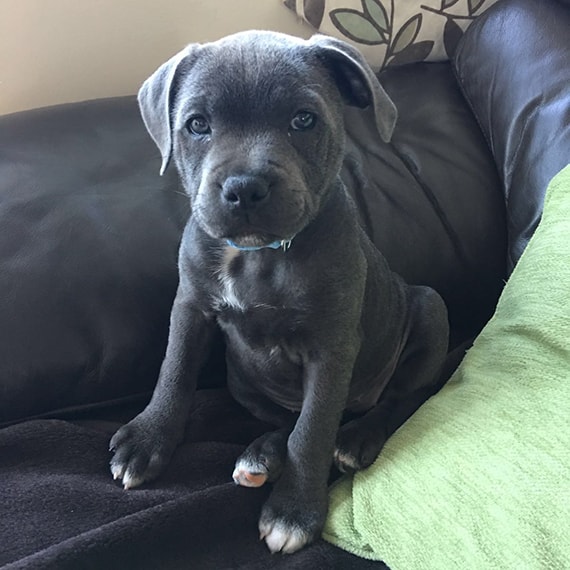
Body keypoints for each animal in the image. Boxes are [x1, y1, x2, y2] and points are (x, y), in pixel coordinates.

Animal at [110, 30, 448, 552]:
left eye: (303, 120)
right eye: (197, 124)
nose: (244, 188)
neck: (259, 255)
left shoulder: (331, 348)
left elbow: (313, 431)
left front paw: (295, 511)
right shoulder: (190, 308)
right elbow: (175, 370)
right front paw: (148, 438)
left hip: (430, 309)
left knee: (399, 399)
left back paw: (356, 439)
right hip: (241, 381)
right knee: (285, 421)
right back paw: (262, 455)